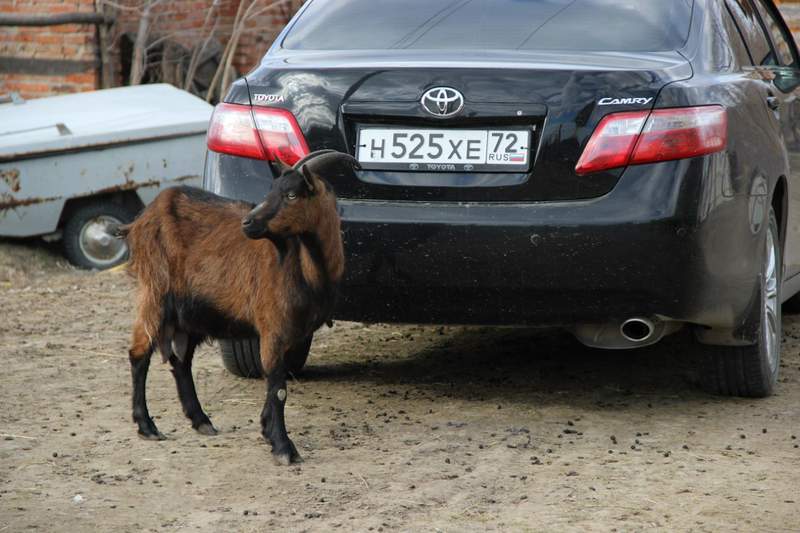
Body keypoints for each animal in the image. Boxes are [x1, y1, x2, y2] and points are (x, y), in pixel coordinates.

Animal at [121, 149, 356, 462]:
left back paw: (201, 420)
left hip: (193, 312)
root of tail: (142, 218)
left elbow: (277, 384)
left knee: (181, 361)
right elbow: (278, 388)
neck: (308, 270)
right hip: (154, 293)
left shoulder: (293, 333)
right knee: (139, 353)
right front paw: (284, 448)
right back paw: (147, 426)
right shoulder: (273, 326)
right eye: (272, 189)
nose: (248, 223)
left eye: (291, 194)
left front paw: (267, 431)